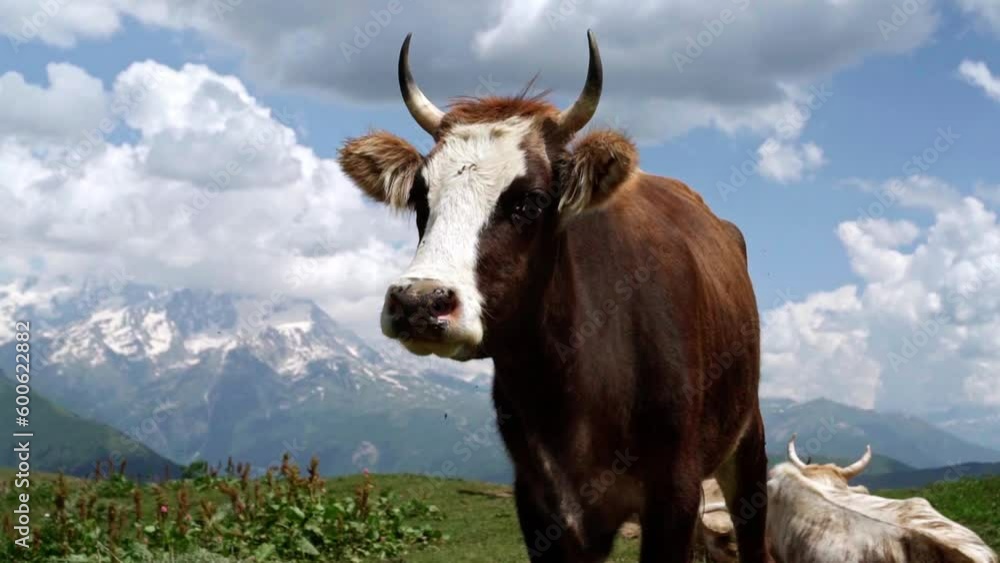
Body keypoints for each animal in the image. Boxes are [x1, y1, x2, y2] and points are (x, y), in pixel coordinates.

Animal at [338, 30, 772, 563]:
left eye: (531, 201)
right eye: (420, 198)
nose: (420, 301)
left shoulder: (675, 492)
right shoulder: (540, 504)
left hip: (748, 442)